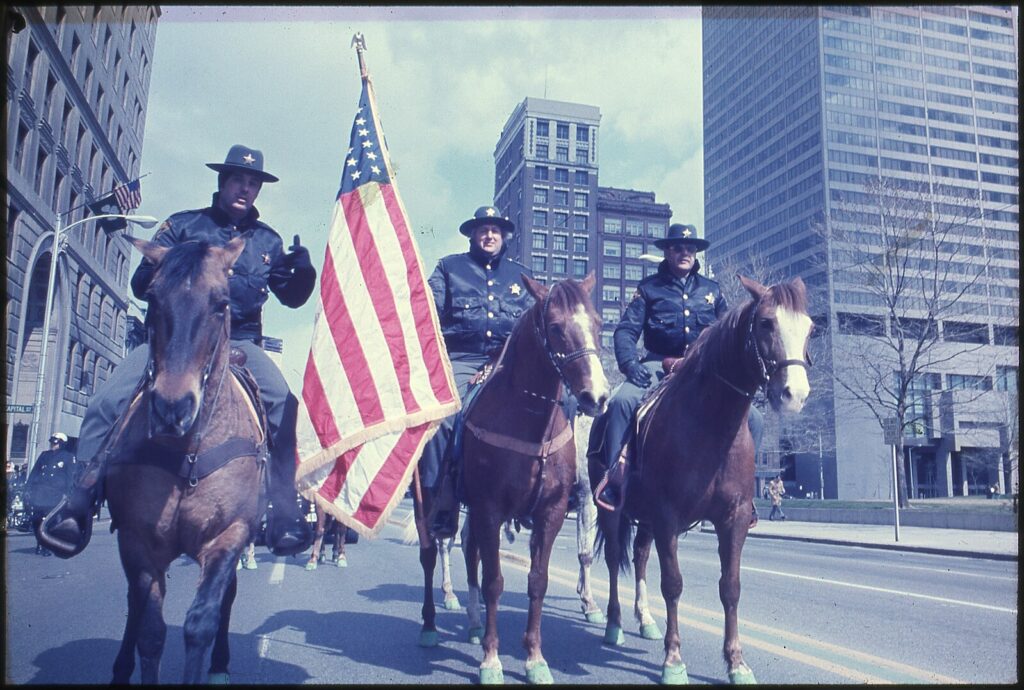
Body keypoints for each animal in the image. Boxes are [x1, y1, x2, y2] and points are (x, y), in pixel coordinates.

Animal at [100, 236, 264, 683]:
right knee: (134, 605)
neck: (187, 453)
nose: (172, 407)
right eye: (153, 297)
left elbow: (200, 623)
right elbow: (151, 631)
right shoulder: (137, 540)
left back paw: (220, 663)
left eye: (222, 303)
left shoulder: (228, 536)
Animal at [448, 272, 606, 683]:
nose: (596, 397)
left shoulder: (553, 512)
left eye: (598, 323)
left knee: (469, 548)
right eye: (556, 327)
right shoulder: (488, 508)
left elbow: (539, 581)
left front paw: (535, 657)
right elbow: (494, 581)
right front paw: (491, 659)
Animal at [589, 274, 811, 683]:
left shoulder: (732, 518)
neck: (710, 424)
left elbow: (731, 587)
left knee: (640, 557)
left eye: (811, 328)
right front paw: (674, 660)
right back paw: (614, 625)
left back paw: (645, 620)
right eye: (766, 323)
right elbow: (673, 584)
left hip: (645, 519)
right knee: (614, 560)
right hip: (613, 510)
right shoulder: (667, 516)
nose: (795, 395)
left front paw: (737, 662)